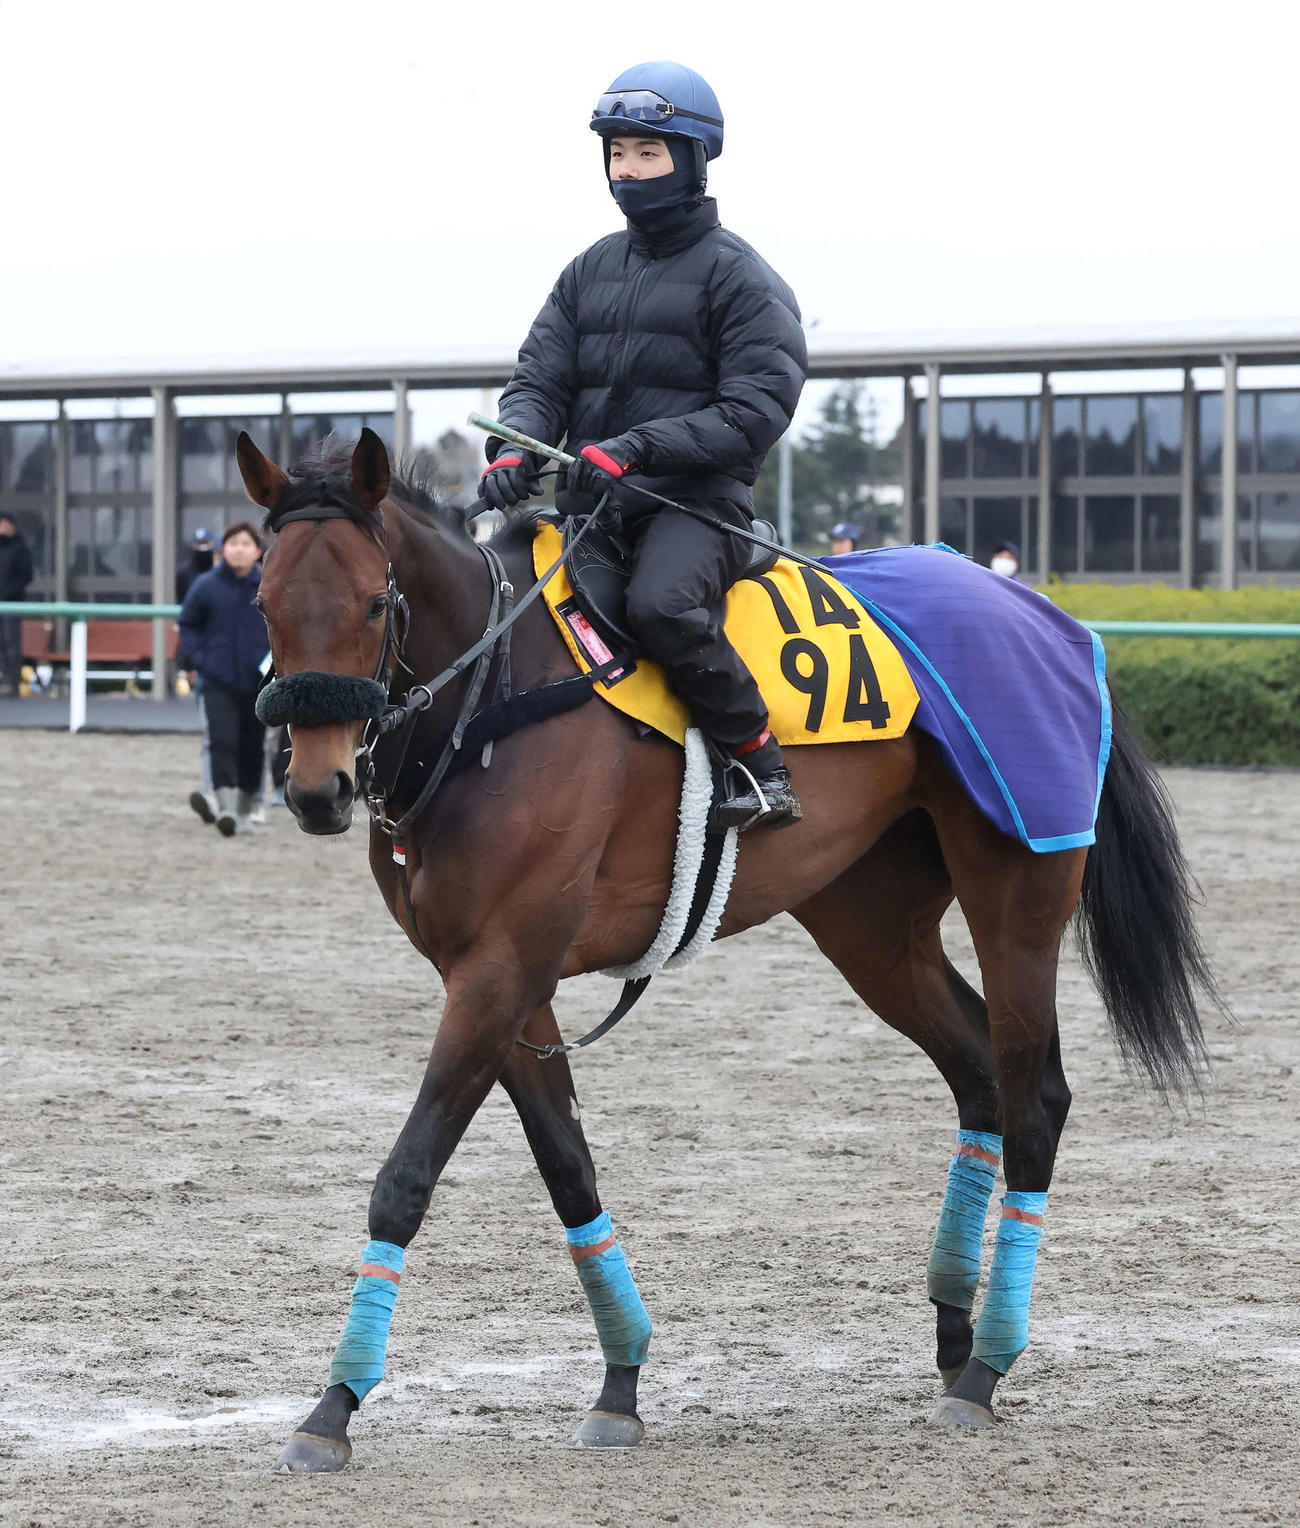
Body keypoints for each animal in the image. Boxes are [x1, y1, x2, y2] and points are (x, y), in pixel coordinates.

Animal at [237, 429, 1218, 1472]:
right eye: (265, 603)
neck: (498, 698)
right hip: (872, 926)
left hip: (1018, 894)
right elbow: (568, 1168)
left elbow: (406, 1177)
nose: (317, 788)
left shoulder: (498, 971)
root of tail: (1045, 613)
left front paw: (333, 1405)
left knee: (1035, 1097)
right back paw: (956, 1331)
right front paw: (621, 1380)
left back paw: (988, 1364)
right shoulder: (505, 982)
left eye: (374, 602)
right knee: (979, 1073)